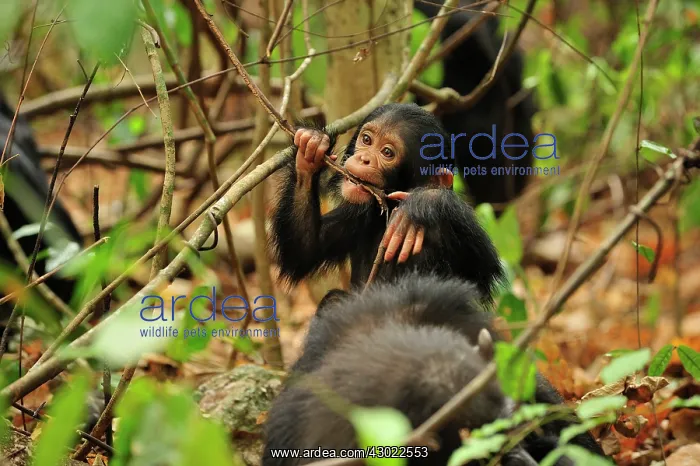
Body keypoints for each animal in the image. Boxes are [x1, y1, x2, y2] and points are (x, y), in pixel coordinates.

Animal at [270, 103, 505, 302]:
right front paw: (311, 148)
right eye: (366, 140)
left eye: (387, 152)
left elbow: (483, 268)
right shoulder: (359, 212)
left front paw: (424, 201)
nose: (364, 159)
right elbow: (304, 250)